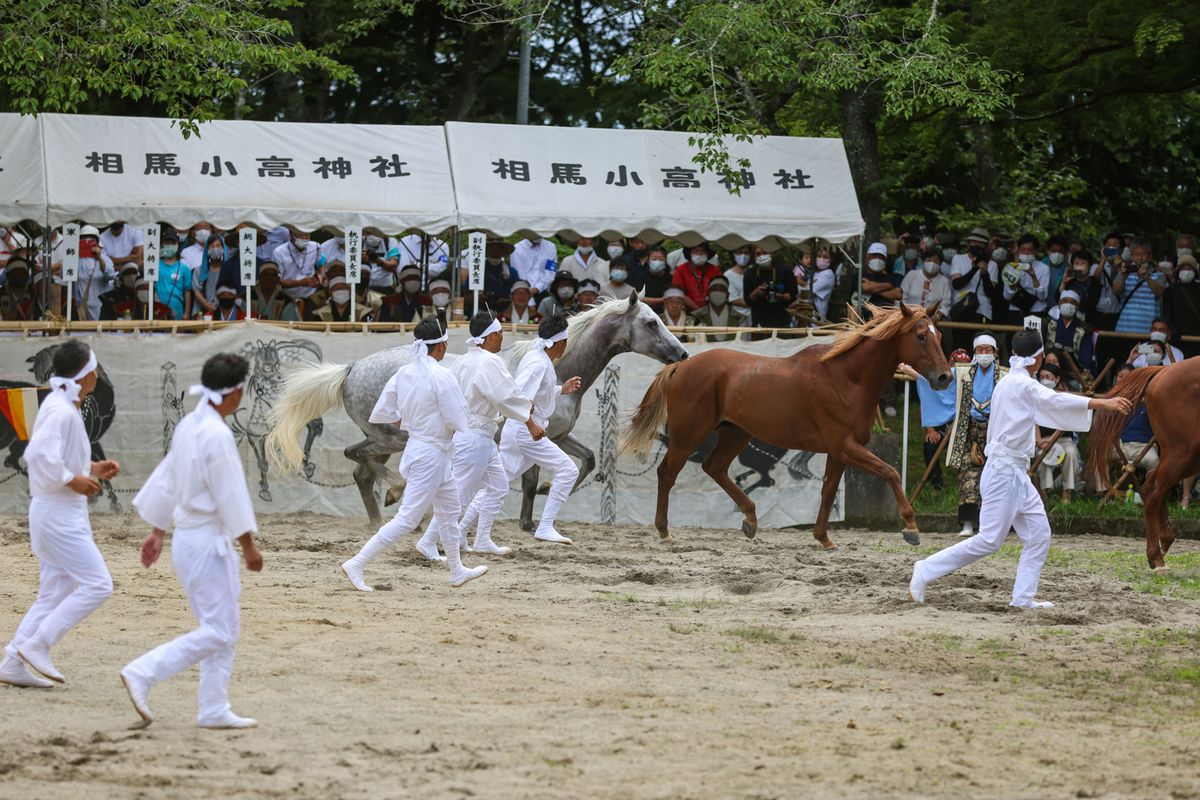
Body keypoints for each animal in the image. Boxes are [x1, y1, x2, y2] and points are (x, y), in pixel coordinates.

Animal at [267, 292, 691, 525]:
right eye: (651, 323)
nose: (683, 353)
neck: (555, 369)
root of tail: (351, 368)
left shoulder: (558, 435)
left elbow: (586, 460)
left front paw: (545, 498)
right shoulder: (532, 438)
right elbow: (531, 481)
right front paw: (529, 519)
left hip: (387, 440)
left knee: (361, 472)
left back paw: (380, 518)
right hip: (391, 438)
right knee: (358, 460)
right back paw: (397, 496)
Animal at [624, 303, 950, 546]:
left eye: (940, 336)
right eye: (921, 336)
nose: (944, 377)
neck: (846, 378)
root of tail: (681, 365)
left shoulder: (839, 451)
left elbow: (829, 490)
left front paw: (823, 538)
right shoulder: (846, 446)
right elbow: (890, 472)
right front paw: (911, 528)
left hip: (735, 434)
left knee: (714, 468)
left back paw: (750, 520)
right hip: (689, 434)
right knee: (668, 472)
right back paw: (664, 531)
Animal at [1089, 357, 1200, 568]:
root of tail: (1164, 370)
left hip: (1189, 457)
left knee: (1151, 484)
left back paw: (1164, 540)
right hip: (1182, 452)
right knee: (1154, 491)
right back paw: (1156, 557)